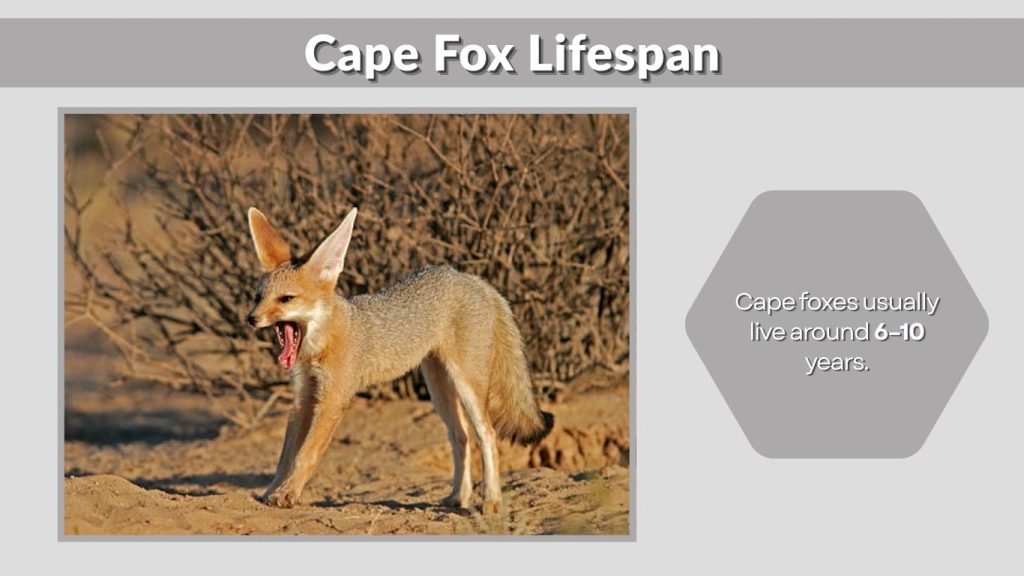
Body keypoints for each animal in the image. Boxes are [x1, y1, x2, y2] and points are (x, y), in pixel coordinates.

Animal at [245, 206, 554, 514]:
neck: (319, 347)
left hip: (467, 387)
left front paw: (287, 494)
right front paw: (272, 491)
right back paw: (458, 497)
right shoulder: (303, 398)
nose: (250, 319)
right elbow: (285, 457)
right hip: (439, 390)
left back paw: (491, 501)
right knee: (462, 436)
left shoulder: (332, 400)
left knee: (487, 434)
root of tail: (470, 278)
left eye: (286, 299)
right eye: (258, 297)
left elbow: (305, 454)